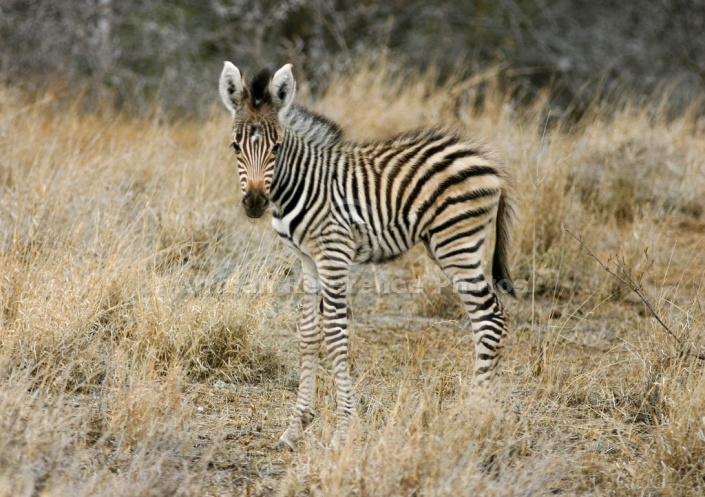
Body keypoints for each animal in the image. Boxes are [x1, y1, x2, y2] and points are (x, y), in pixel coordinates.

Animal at [217, 62, 516, 450]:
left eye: (277, 147)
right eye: (236, 146)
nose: (254, 203)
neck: (302, 182)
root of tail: (489, 160)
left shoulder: (334, 253)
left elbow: (334, 333)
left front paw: (343, 430)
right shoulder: (306, 259)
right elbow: (308, 333)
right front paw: (296, 428)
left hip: (457, 243)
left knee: (490, 316)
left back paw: (475, 413)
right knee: (487, 318)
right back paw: (482, 411)